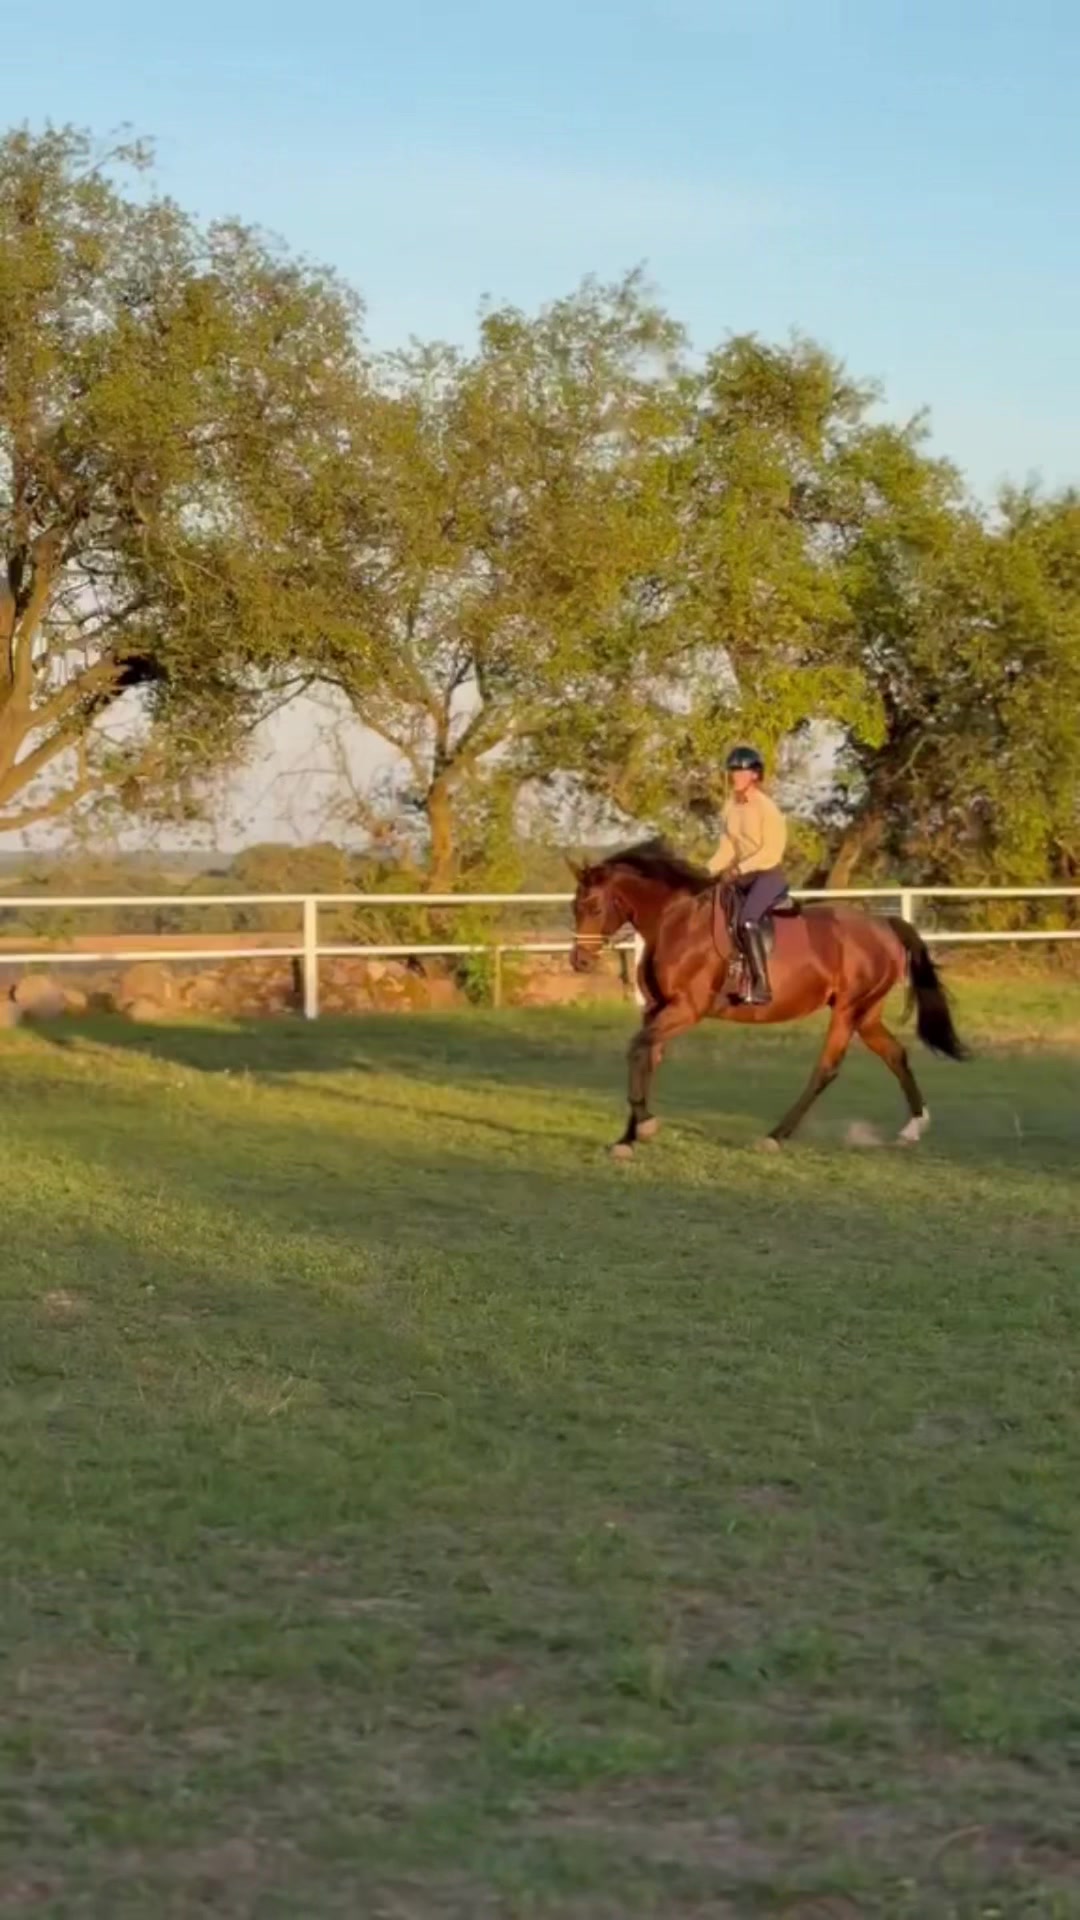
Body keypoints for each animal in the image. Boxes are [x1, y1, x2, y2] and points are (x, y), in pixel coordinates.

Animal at [568, 838, 968, 1157]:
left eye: (594, 907)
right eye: (575, 907)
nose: (579, 961)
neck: (676, 922)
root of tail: (884, 925)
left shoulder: (685, 1010)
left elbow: (637, 1049)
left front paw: (645, 1126)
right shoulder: (656, 1011)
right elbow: (646, 1058)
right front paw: (628, 1139)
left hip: (848, 1010)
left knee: (826, 1070)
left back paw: (775, 1136)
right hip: (866, 1015)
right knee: (895, 1054)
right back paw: (914, 1127)